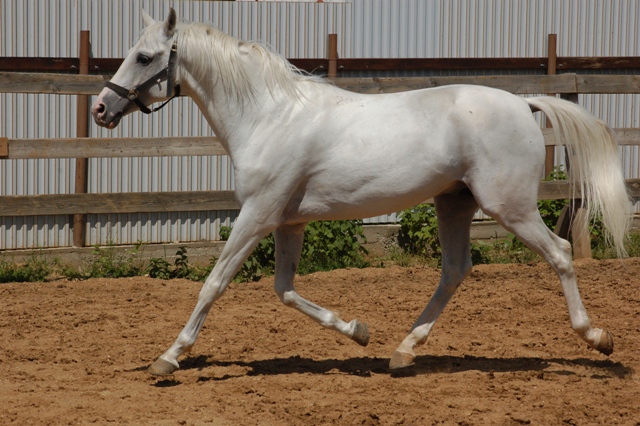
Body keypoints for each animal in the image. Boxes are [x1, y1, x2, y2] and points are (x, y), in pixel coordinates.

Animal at [91, 9, 632, 376]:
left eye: (144, 56)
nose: (100, 108)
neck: (269, 117)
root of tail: (524, 104)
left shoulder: (258, 215)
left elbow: (214, 283)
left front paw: (169, 357)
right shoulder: (289, 221)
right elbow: (285, 290)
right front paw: (358, 332)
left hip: (509, 207)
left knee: (559, 253)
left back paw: (597, 337)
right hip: (454, 202)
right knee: (455, 269)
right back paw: (403, 351)